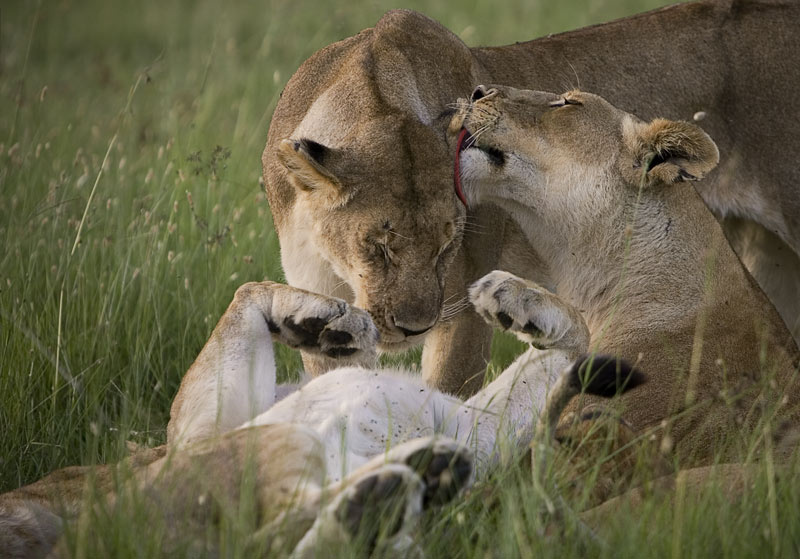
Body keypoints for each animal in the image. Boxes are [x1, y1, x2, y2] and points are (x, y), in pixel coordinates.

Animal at [1, 280, 641, 557]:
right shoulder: (198, 434)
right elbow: (246, 292)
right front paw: (326, 320)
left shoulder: (475, 428)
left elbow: (575, 336)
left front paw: (516, 300)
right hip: (276, 446)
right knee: (276, 534)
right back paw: (401, 486)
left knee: (284, 537)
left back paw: (405, 487)